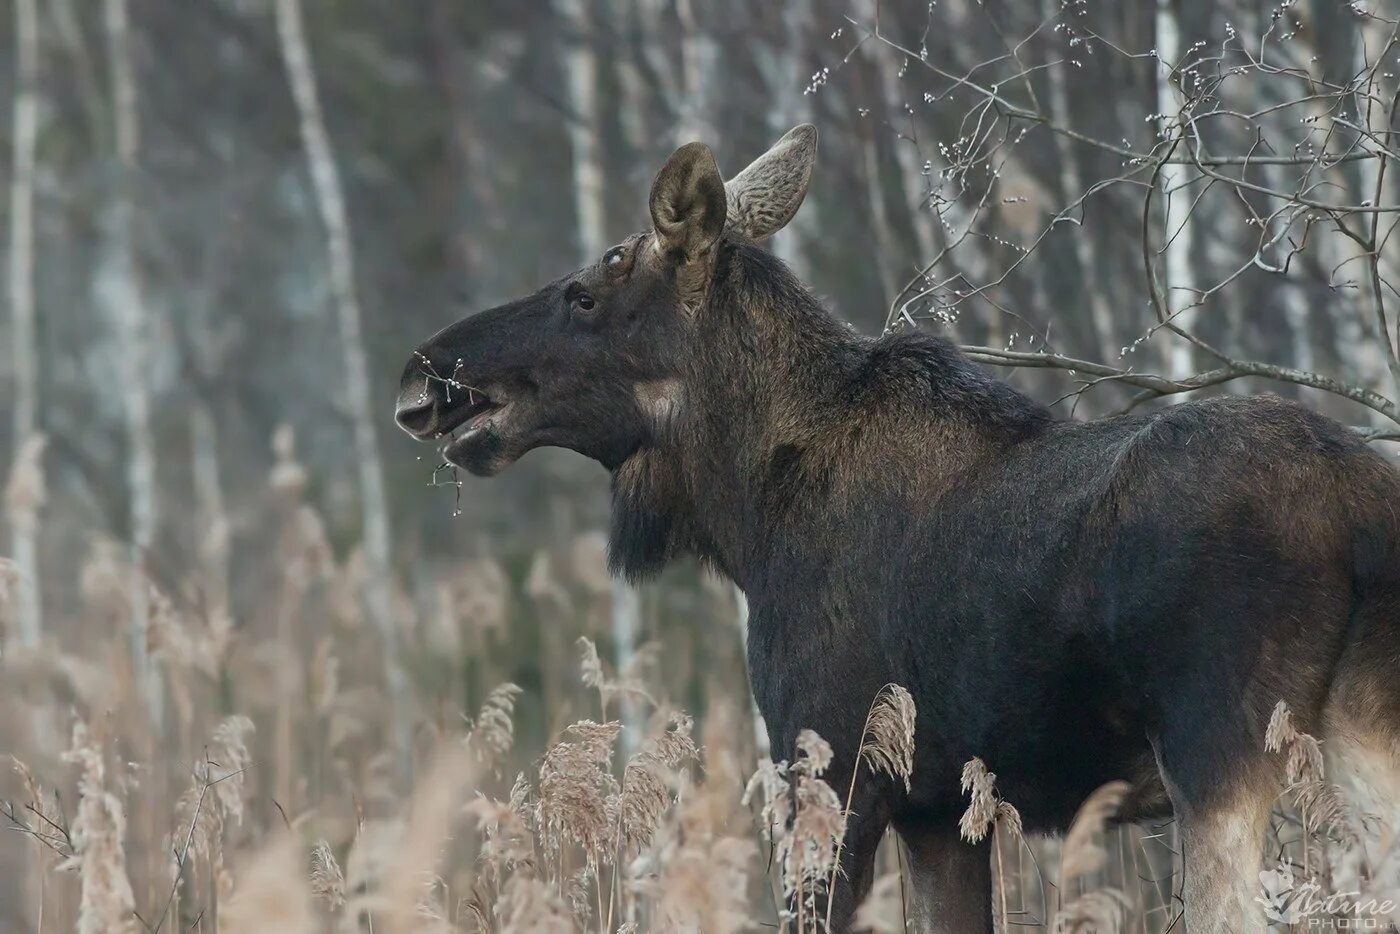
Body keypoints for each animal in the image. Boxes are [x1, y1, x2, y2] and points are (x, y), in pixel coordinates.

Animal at [397, 126, 1400, 934]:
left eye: (584, 296)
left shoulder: (830, 769)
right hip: (1359, 740)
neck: (749, 516)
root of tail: (1361, 510)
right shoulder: (936, 811)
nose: (426, 368)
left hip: (1219, 749)